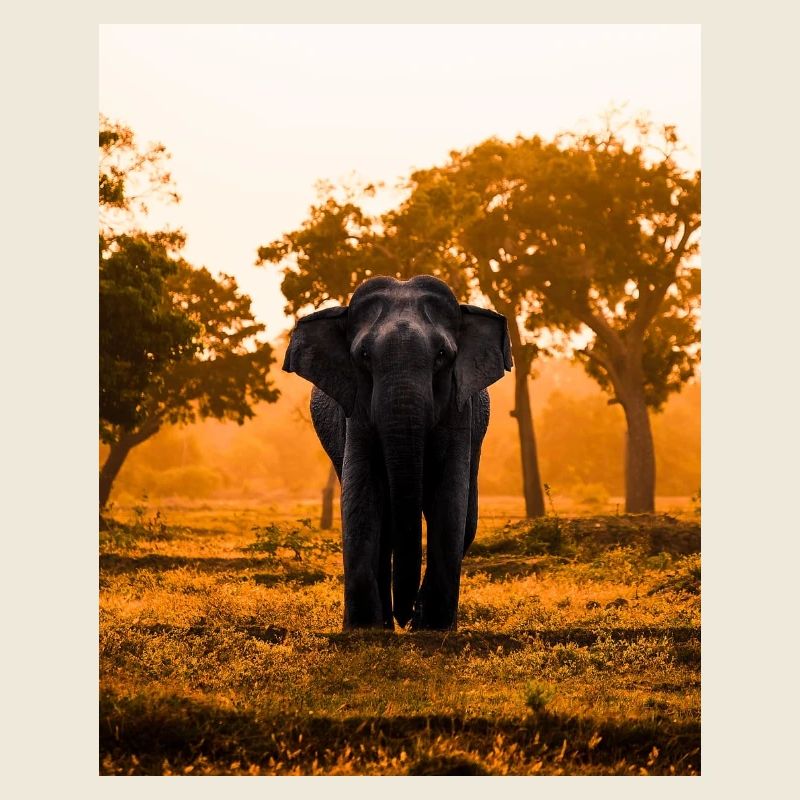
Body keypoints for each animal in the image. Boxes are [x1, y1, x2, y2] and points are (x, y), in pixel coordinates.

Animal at [283, 275, 512, 630]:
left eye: (442, 355)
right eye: (363, 355)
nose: (405, 616)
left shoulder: (461, 411)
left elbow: (450, 499)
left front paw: (432, 627)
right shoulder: (355, 413)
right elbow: (361, 496)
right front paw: (364, 629)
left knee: (466, 518)